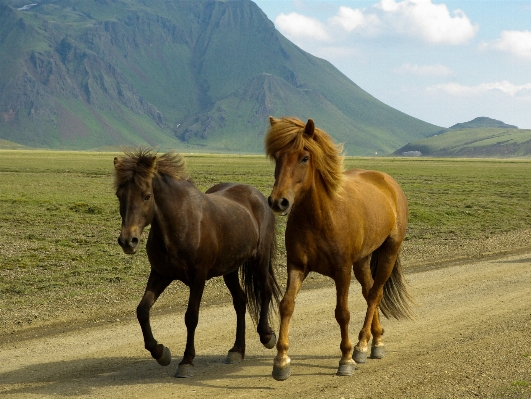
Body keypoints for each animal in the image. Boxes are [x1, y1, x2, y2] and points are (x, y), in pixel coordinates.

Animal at [114, 149, 282, 378]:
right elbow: (142, 310)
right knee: (240, 301)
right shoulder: (160, 274)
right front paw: (160, 352)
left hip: (260, 260)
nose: (127, 241)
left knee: (265, 290)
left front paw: (186, 361)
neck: (180, 223)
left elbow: (191, 317)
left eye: (146, 195)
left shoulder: (198, 278)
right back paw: (237, 350)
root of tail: (256, 195)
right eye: (119, 195)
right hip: (230, 269)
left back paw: (266, 336)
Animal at [266, 116, 416, 382]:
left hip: (388, 252)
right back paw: (375, 341)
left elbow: (342, 312)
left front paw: (346, 358)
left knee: (375, 294)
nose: (278, 202)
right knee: (369, 292)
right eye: (277, 157)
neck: (320, 217)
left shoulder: (342, 270)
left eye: (304, 158)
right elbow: (286, 305)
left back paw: (361, 346)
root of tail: (387, 181)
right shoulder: (297, 266)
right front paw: (281, 361)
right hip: (363, 260)